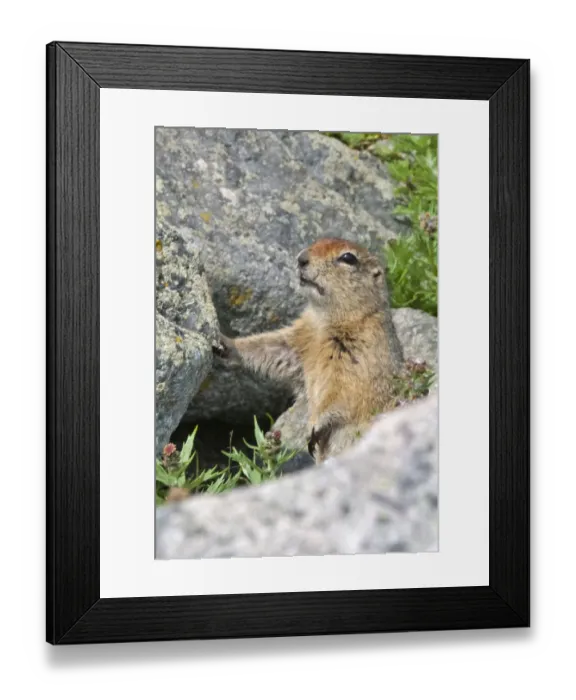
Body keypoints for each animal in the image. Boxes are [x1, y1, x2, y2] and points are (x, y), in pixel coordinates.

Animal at [214, 238, 404, 463]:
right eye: (316, 241)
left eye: (348, 258)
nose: (301, 258)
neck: (325, 321)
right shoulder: (302, 336)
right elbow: (273, 347)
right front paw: (225, 343)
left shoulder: (361, 351)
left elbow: (343, 391)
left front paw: (314, 428)